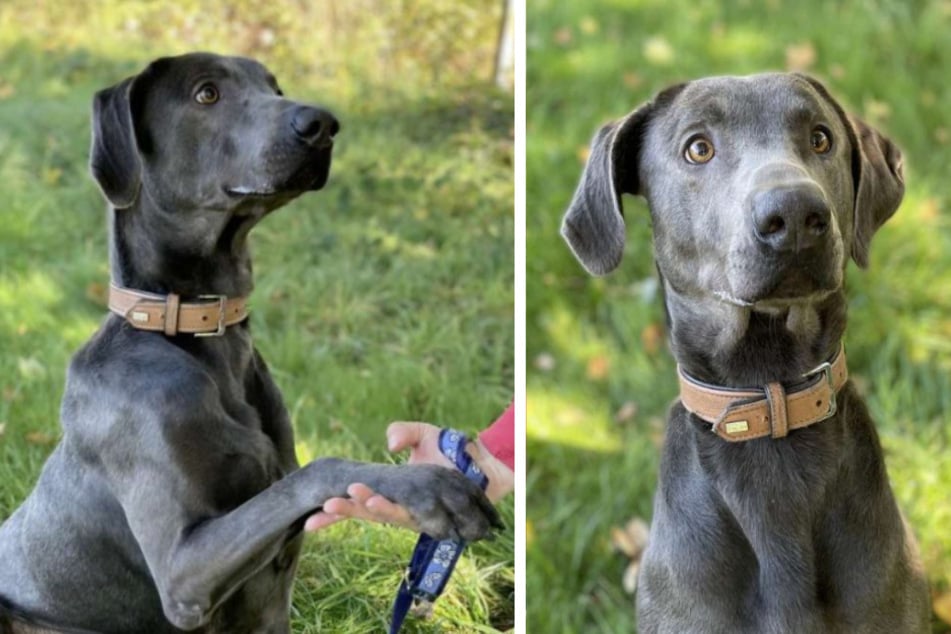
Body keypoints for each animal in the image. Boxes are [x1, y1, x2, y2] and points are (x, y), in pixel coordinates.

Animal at [0, 51, 498, 628]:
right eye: (206, 94)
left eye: (273, 87)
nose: (322, 124)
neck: (197, 334)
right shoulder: (182, 573)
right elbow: (319, 468)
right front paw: (428, 487)